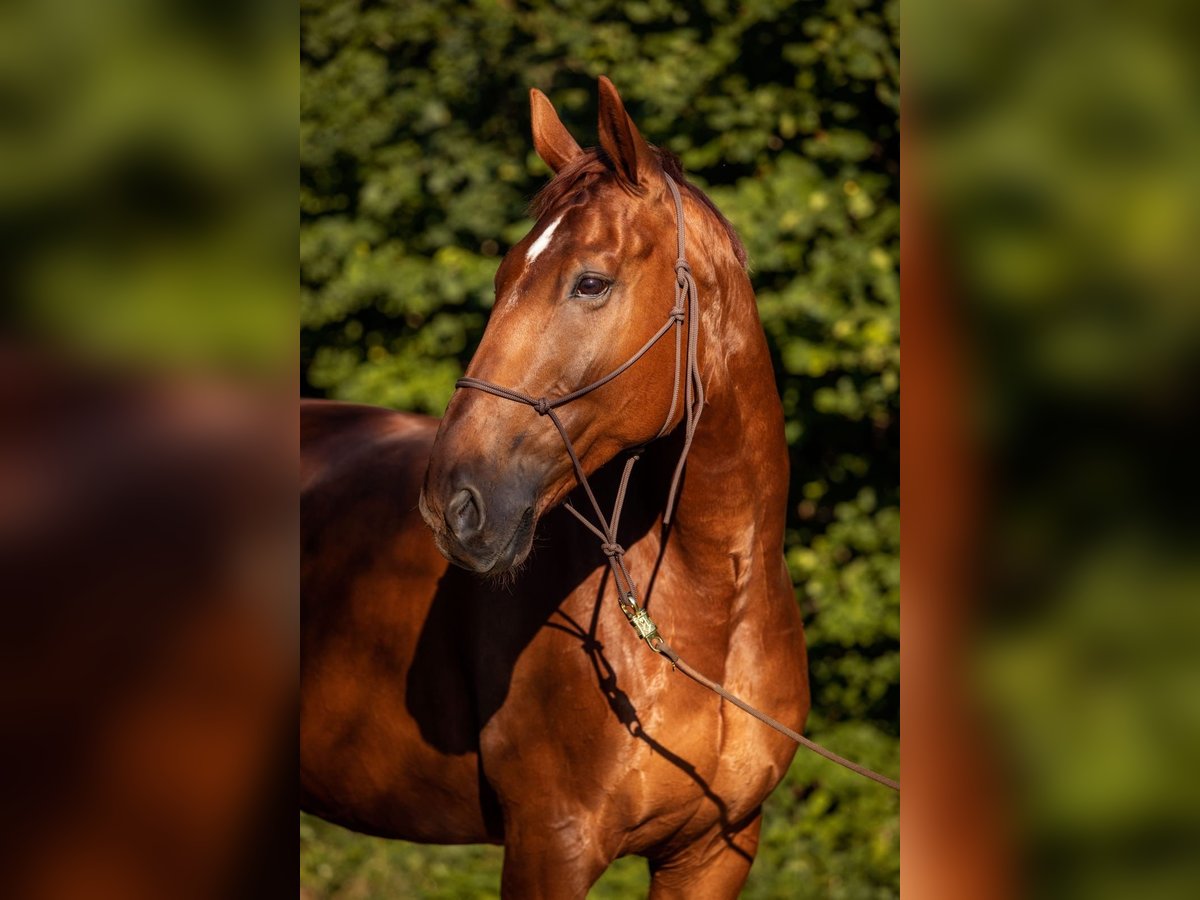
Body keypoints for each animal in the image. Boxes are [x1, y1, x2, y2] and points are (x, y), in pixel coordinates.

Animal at [300, 79, 811, 900]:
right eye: (503, 276)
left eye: (591, 282)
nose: (453, 503)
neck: (711, 610)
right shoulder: (551, 845)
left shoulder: (716, 849)